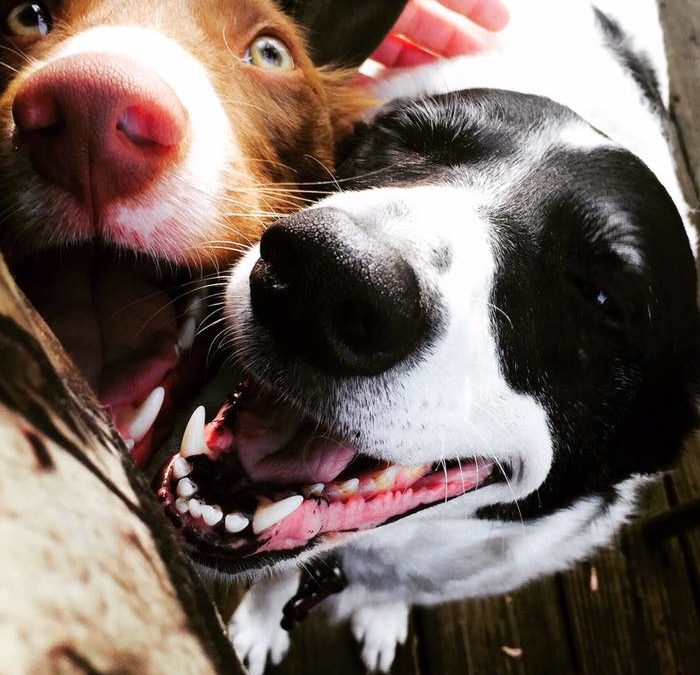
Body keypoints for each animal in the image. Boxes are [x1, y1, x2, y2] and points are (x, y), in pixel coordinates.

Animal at [156, 2, 700, 672]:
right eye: (404, 140)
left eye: (602, 298)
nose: (330, 278)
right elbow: (276, 578)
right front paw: (259, 625)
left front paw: (382, 614)